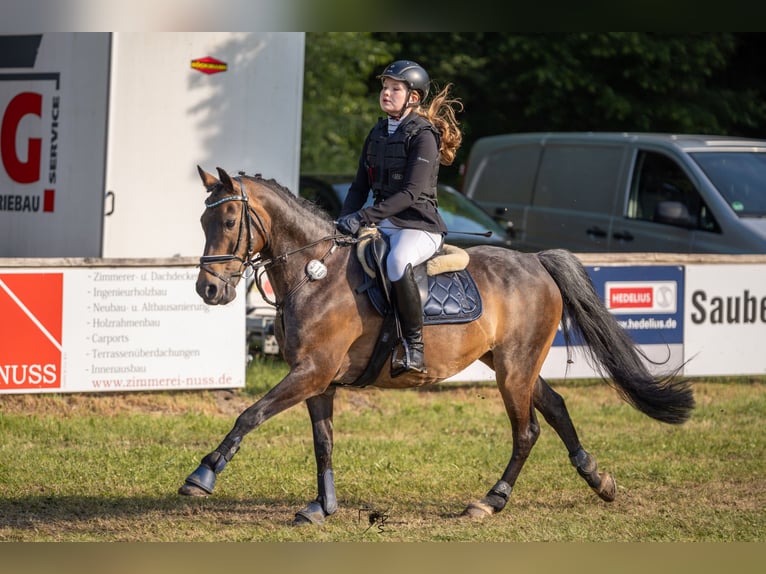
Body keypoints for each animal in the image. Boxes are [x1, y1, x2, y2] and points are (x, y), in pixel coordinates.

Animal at [180, 166, 696, 528]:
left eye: (230, 219)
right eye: (203, 219)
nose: (209, 289)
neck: (314, 272)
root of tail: (536, 261)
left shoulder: (311, 371)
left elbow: (250, 415)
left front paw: (202, 475)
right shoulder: (318, 379)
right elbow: (322, 443)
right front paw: (322, 506)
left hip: (513, 369)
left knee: (527, 430)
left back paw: (491, 500)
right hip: (512, 363)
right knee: (556, 407)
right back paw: (597, 478)